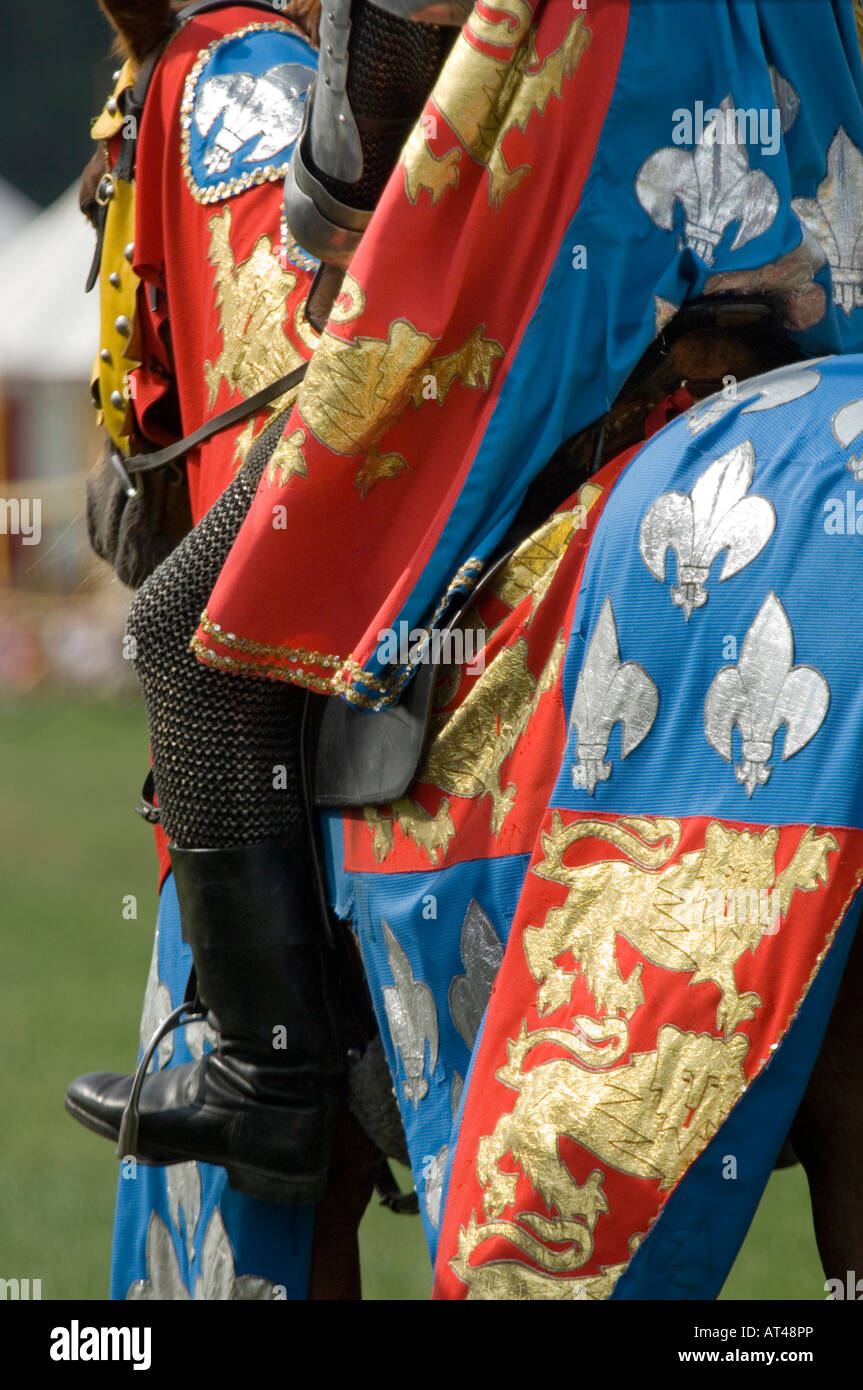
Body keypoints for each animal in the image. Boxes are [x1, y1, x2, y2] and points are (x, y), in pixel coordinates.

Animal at [525, 811, 833, 1034]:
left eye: (750, 872)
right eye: (726, 870)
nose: (736, 886)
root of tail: (585, 871)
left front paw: (807, 855)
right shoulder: (711, 958)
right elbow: (723, 975)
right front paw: (735, 1007)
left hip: (600, 932)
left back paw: (619, 995)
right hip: (581, 924)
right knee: (535, 935)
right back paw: (555, 982)